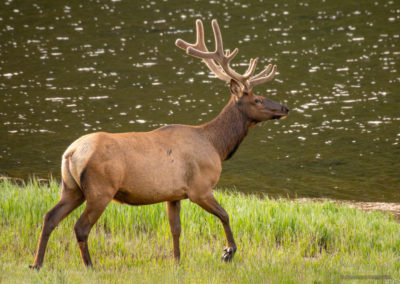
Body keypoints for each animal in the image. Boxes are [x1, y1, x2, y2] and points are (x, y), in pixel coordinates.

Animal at [29, 19, 290, 268]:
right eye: (258, 99)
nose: (285, 108)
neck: (217, 146)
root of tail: (71, 153)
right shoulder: (200, 187)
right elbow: (225, 215)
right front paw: (228, 252)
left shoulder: (173, 194)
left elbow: (175, 229)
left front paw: (177, 260)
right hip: (100, 189)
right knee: (80, 227)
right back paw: (89, 265)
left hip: (71, 187)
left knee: (49, 217)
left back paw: (37, 263)